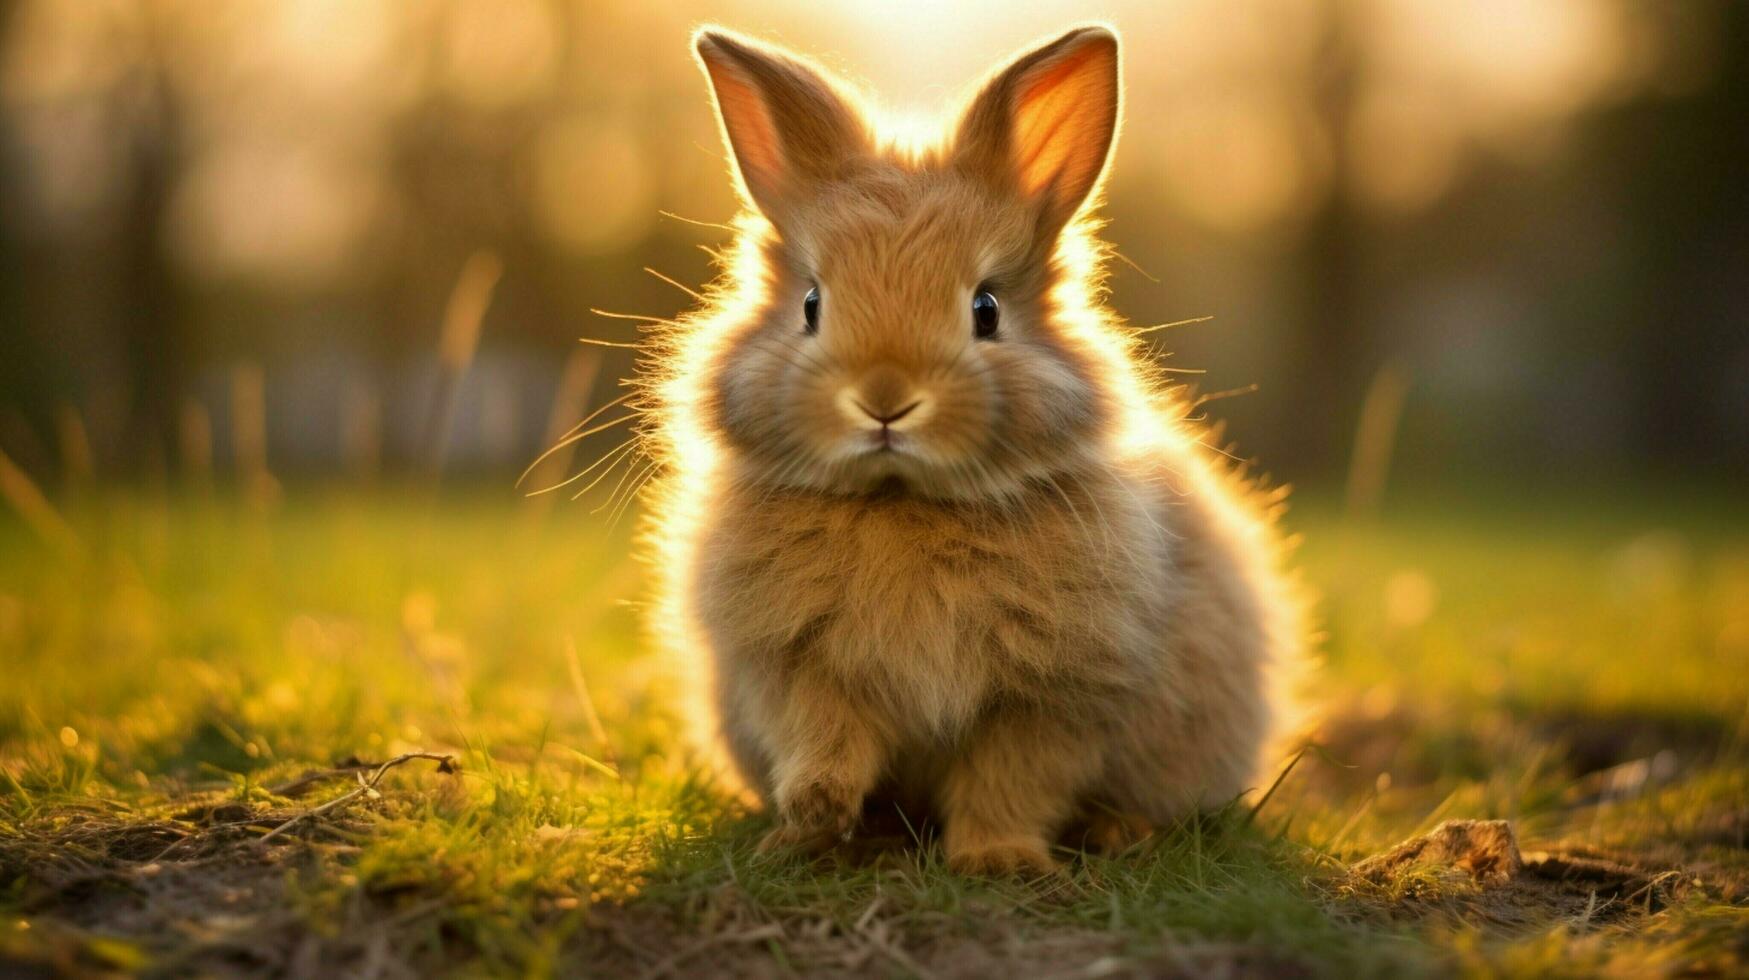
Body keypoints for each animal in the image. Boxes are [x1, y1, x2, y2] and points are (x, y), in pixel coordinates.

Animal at [636, 22, 1308, 871]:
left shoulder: (1053, 696)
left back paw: (1120, 833)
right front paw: (810, 821)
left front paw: (998, 861)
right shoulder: (794, 670)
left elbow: (1009, 780)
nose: (884, 399)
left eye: (985, 309)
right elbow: (824, 742)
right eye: (811, 304)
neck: (901, 504)